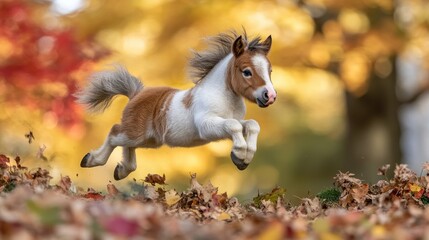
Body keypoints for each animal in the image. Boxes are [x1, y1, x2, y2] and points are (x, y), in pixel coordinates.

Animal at [76, 30, 278, 180]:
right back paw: (91, 160)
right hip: (135, 133)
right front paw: (239, 155)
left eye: (270, 70)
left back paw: (121, 170)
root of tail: (135, 94)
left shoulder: (231, 122)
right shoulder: (207, 124)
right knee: (114, 133)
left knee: (126, 146)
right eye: (246, 72)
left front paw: (244, 158)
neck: (225, 97)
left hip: (149, 140)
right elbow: (234, 125)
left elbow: (251, 125)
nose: (270, 96)